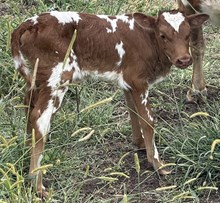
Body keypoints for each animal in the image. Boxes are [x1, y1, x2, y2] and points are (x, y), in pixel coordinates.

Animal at [11, 9, 208, 198]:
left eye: (188, 35)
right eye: (163, 35)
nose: (184, 59)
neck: (148, 40)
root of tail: (32, 22)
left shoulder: (128, 82)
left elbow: (133, 112)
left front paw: (140, 144)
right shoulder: (138, 81)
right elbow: (148, 120)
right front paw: (158, 164)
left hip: (38, 77)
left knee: (28, 105)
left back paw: (27, 152)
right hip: (57, 76)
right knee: (40, 118)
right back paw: (37, 184)